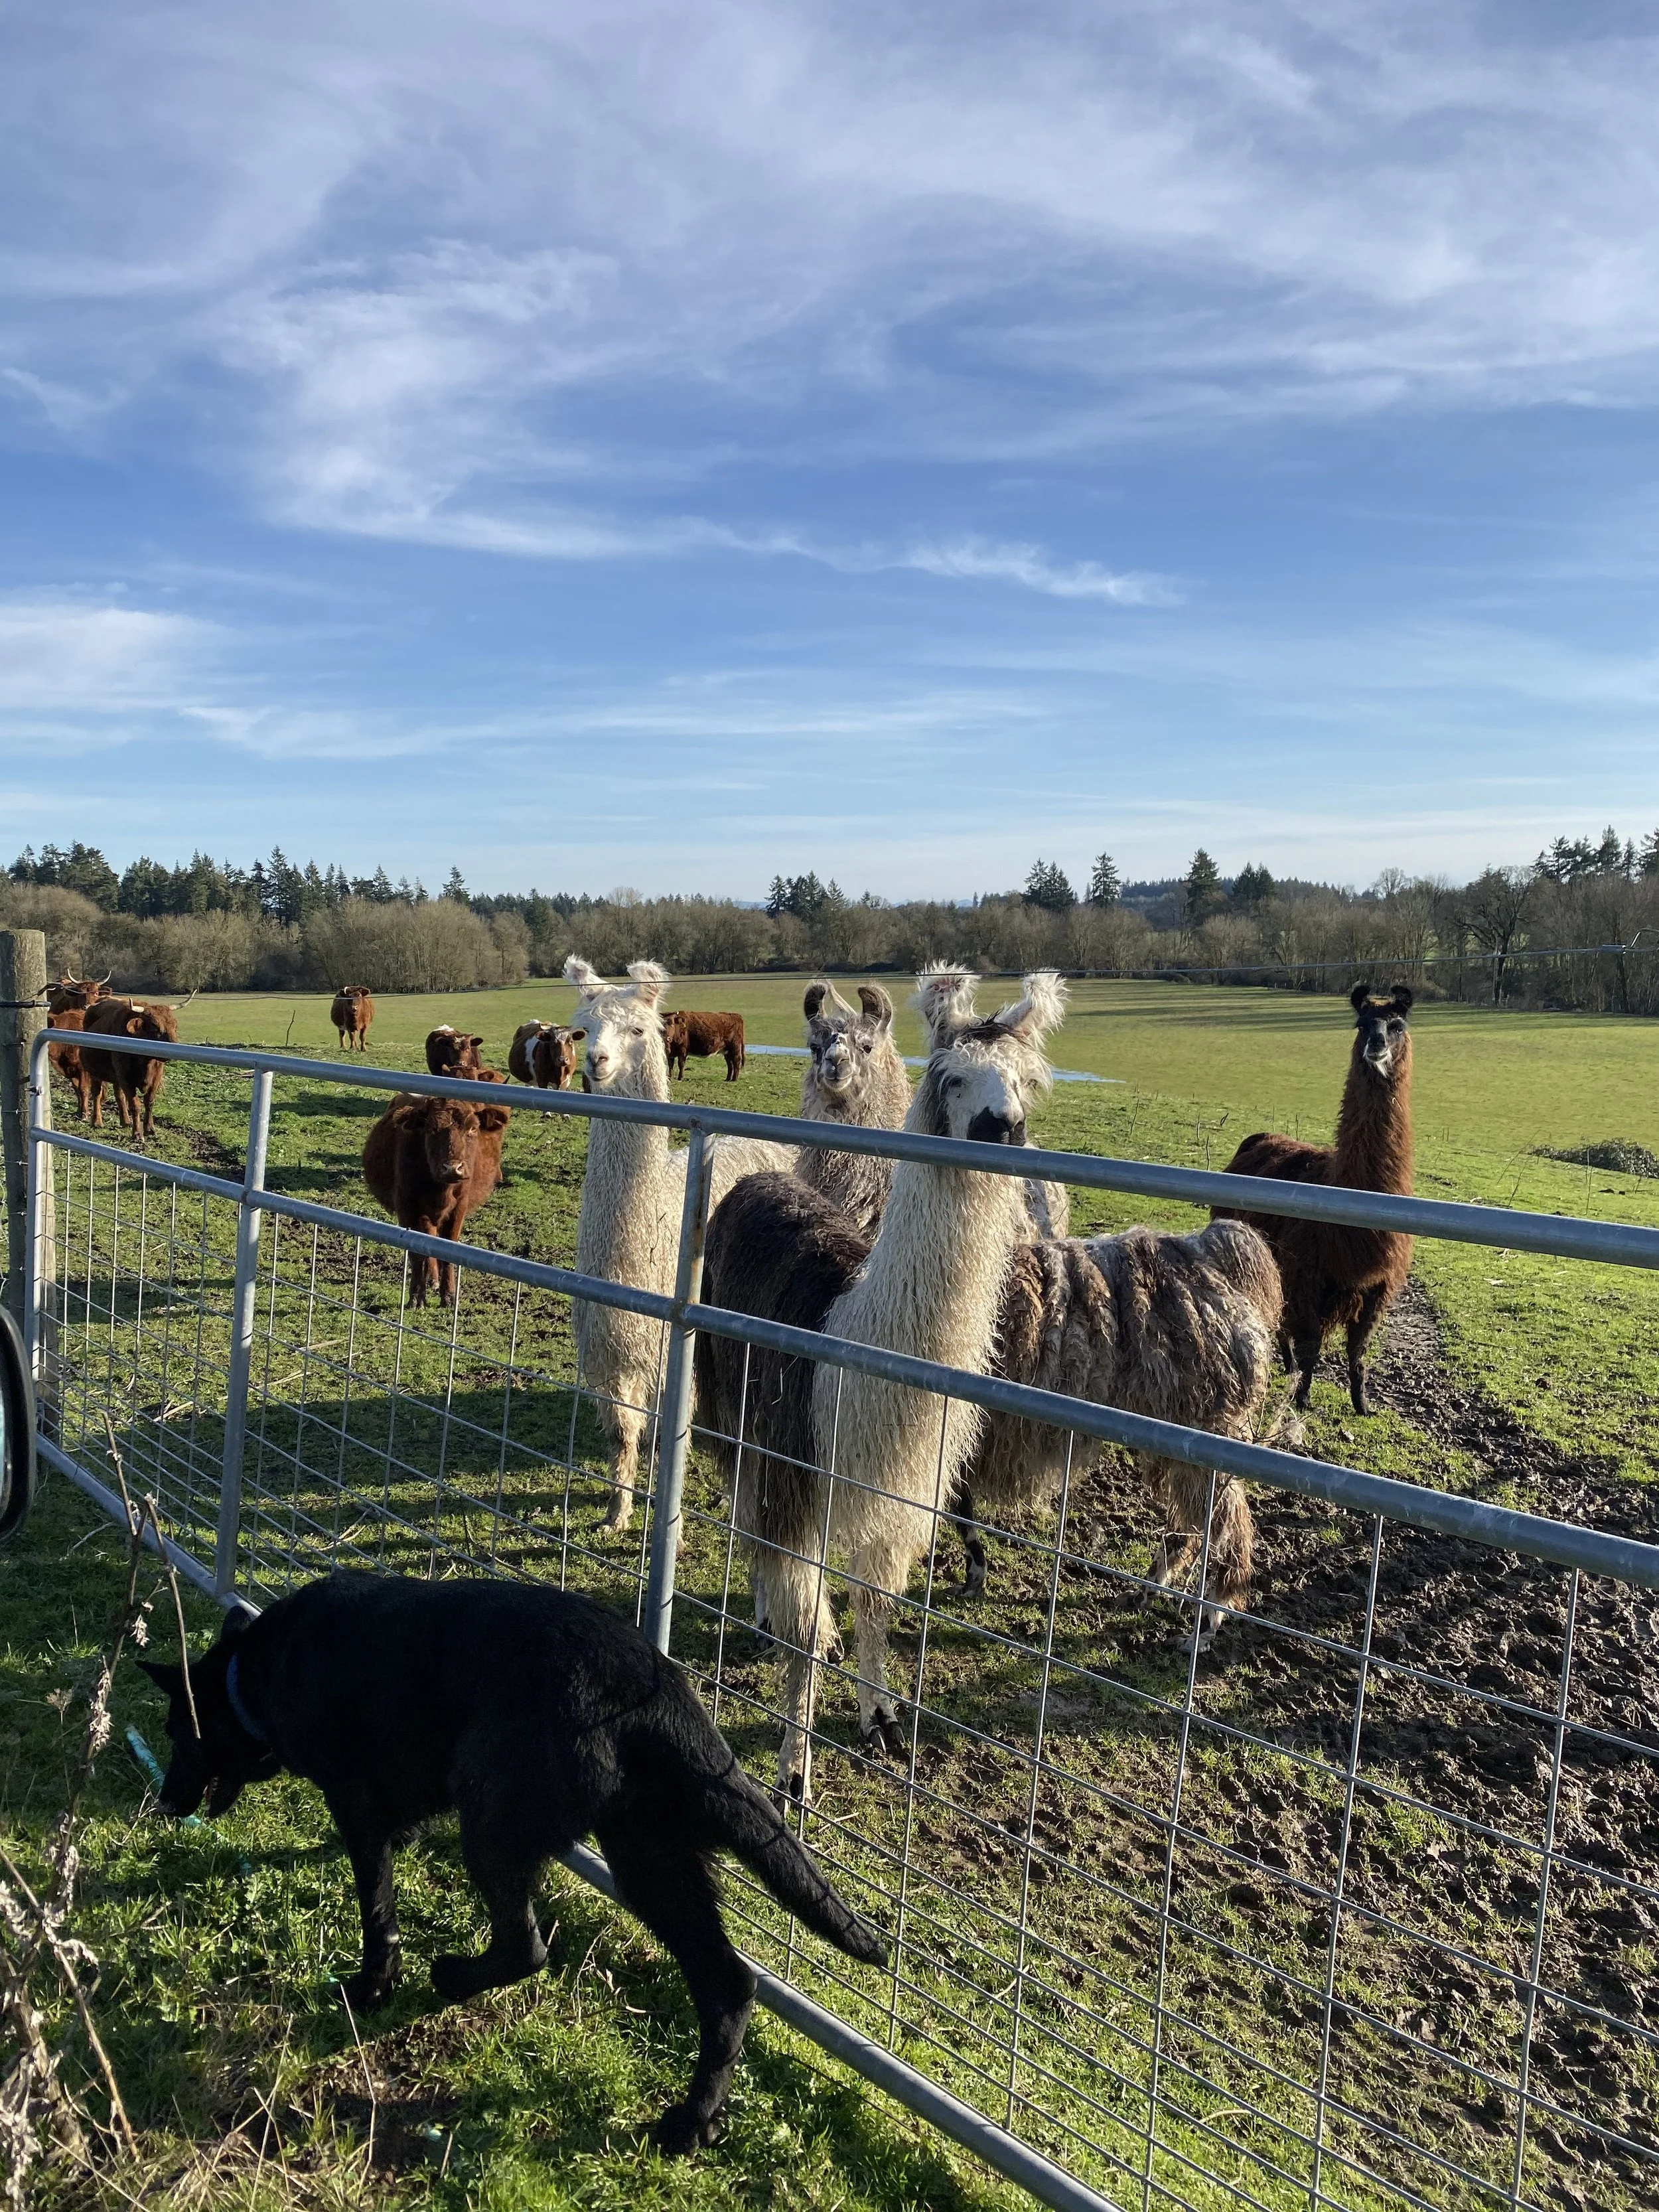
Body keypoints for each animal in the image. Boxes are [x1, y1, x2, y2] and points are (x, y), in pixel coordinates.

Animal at [79, 990, 196, 1141]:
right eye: (156, 1027)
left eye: (174, 1026)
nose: (175, 1049)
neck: (145, 1062)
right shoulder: (126, 1079)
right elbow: (135, 1105)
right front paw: (137, 1134)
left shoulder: (155, 1077)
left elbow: (149, 1101)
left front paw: (150, 1128)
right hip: (95, 1073)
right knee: (97, 1094)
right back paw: (97, 1121)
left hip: (116, 1076)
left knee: (119, 1095)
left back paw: (125, 1121)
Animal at [361, 1094, 511, 1306]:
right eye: (431, 1129)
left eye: (472, 1128)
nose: (452, 1168)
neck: (442, 1190)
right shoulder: (408, 1208)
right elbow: (417, 1253)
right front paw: (416, 1298)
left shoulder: (459, 1209)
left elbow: (447, 1250)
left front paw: (449, 1296)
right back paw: (432, 1279)